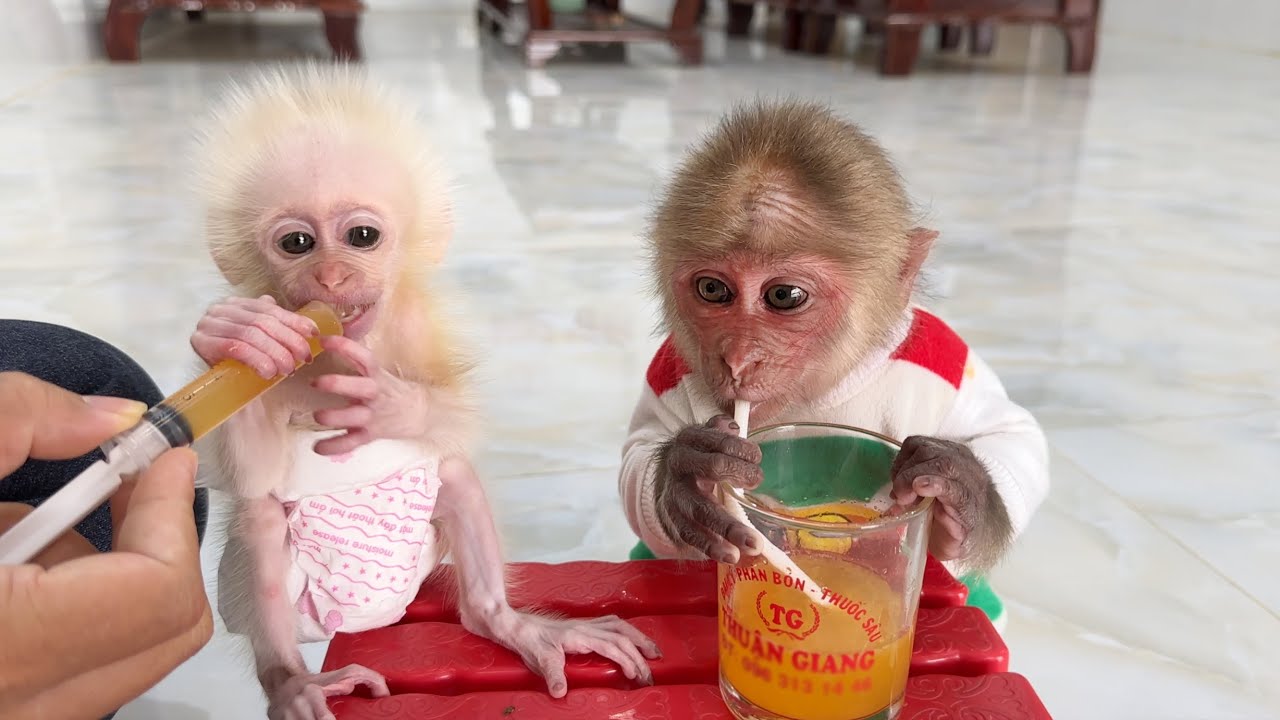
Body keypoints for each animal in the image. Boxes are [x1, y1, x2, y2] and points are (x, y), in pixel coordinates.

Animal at [188, 65, 659, 720]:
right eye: (297, 244)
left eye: (361, 236)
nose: (331, 276)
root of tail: (367, 621)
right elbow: (253, 474)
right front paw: (235, 334)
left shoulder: (420, 325)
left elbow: (460, 420)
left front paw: (388, 405)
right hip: (271, 600)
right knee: (258, 519)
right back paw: (292, 682)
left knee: (453, 469)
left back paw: (506, 622)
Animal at [618, 99, 1050, 628]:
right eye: (713, 289)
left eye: (784, 296)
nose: (738, 359)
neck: (824, 390)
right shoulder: (668, 373)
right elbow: (637, 466)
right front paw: (688, 477)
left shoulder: (945, 356)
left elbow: (1013, 433)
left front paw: (963, 490)